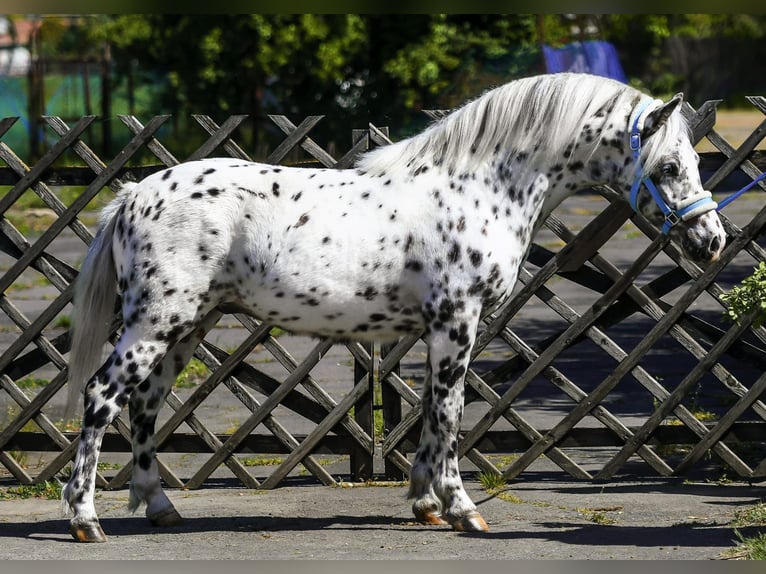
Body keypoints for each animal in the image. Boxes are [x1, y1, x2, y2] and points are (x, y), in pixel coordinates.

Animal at [62, 72, 725, 542]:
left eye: (694, 162)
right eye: (669, 166)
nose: (712, 240)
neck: (479, 188)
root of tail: (134, 193)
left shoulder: (441, 330)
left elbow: (433, 411)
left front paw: (427, 505)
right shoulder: (456, 322)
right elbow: (452, 413)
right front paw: (463, 509)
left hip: (187, 328)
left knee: (145, 405)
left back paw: (160, 507)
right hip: (156, 324)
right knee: (102, 396)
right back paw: (85, 519)